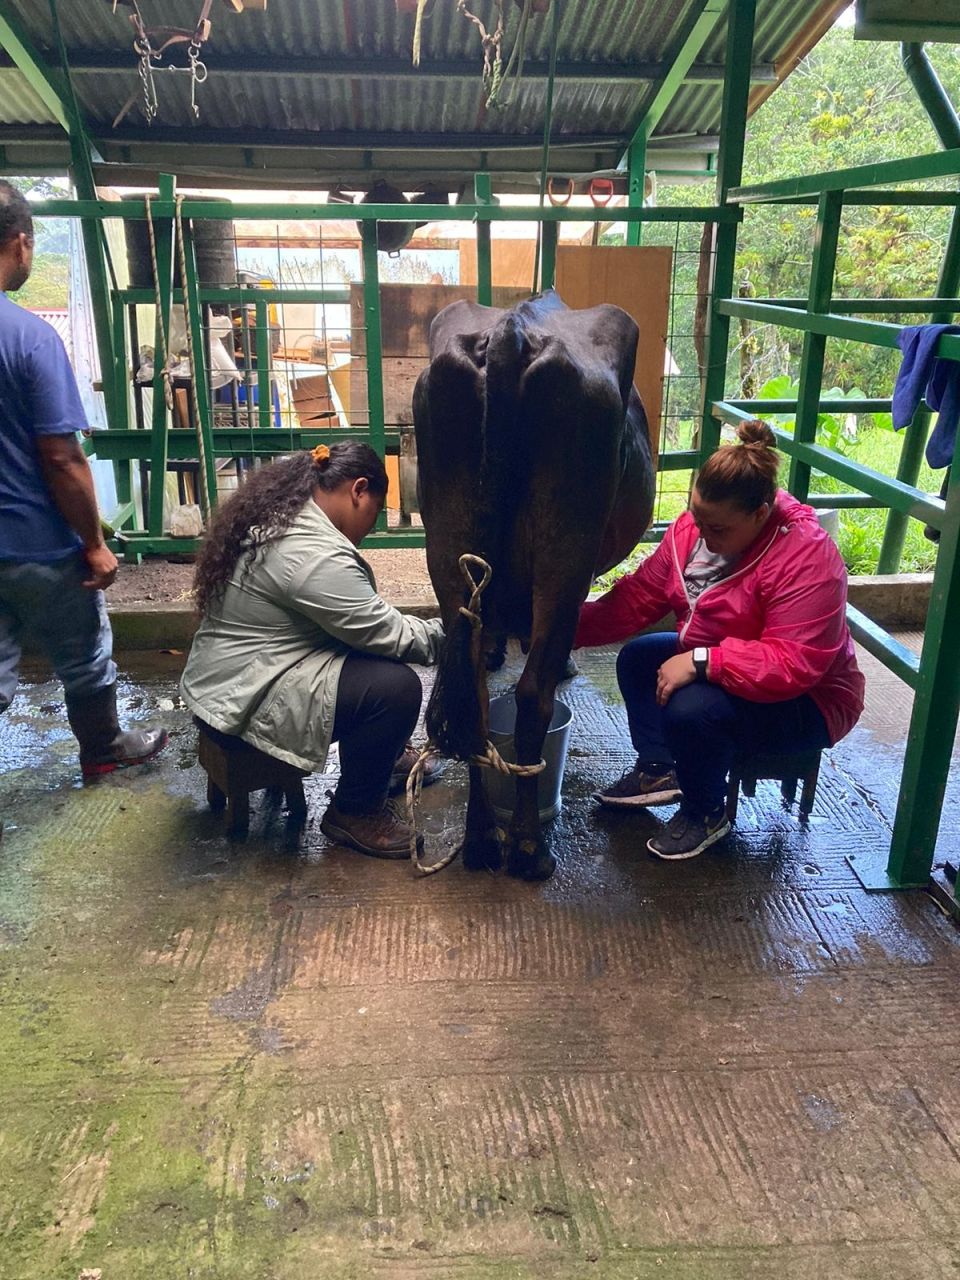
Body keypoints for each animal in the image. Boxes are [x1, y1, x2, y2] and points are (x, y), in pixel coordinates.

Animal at [417, 289, 660, 880]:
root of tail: (513, 328)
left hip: (446, 547)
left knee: (476, 702)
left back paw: (481, 840)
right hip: (566, 551)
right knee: (533, 696)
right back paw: (528, 848)